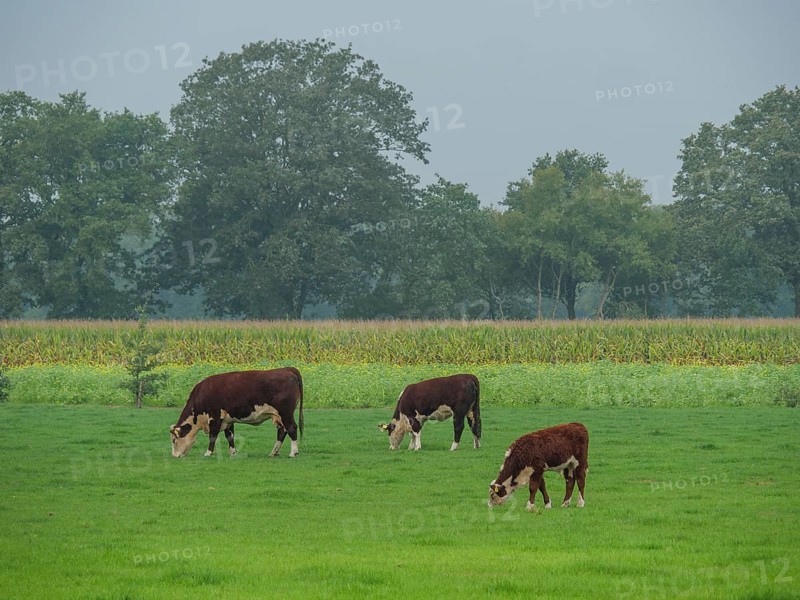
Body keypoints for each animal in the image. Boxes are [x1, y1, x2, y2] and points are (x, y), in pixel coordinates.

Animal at [169, 368, 304, 459]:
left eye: (174, 440)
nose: (174, 456)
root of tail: (286, 369)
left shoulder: (215, 416)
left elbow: (213, 436)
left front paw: (208, 453)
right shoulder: (227, 420)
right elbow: (230, 436)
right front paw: (233, 453)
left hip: (286, 412)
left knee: (291, 428)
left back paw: (293, 452)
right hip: (278, 415)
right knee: (282, 431)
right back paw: (273, 452)